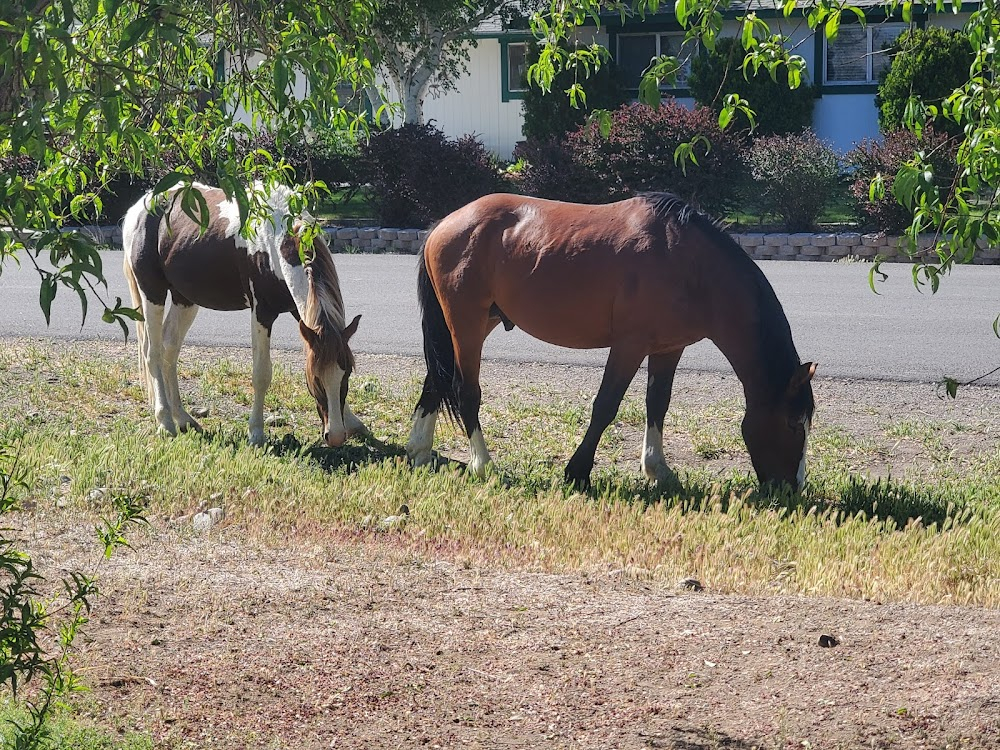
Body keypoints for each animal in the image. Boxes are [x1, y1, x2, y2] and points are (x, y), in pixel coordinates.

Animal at [119, 184, 366, 446]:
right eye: (315, 379)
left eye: (347, 374)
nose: (336, 436)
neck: (275, 237)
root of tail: (139, 208)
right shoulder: (262, 313)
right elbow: (261, 374)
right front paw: (256, 432)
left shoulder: (300, 313)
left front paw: (353, 422)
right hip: (152, 292)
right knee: (153, 352)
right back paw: (165, 422)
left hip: (183, 299)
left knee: (169, 347)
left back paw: (183, 418)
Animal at [402, 191, 816, 490]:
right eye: (794, 423)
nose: (792, 488)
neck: (689, 265)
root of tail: (444, 224)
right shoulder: (629, 346)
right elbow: (606, 406)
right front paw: (578, 471)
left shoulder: (668, 349)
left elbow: (658, 404)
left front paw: (657, 469)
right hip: (467, 323)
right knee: (464, 390)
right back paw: (483, 464)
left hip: (471, 324)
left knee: (436, 379)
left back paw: (419, 451)